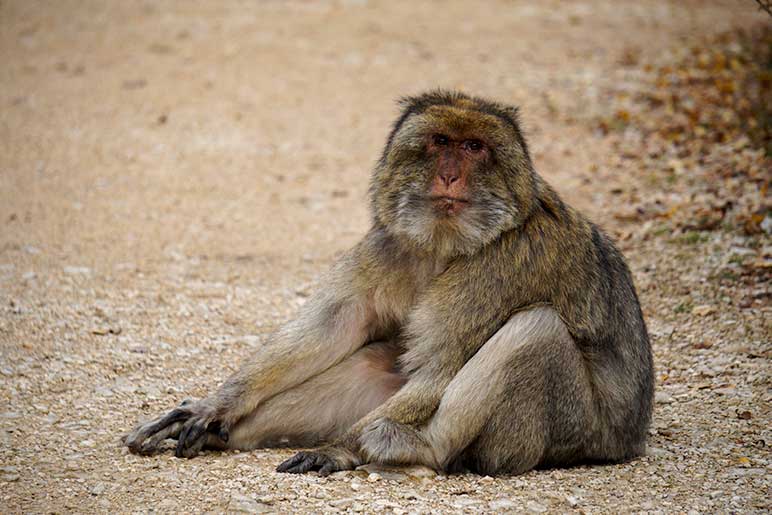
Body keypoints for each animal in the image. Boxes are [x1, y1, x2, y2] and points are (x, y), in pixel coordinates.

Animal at [123, 90, 656, 478]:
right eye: (440, 142)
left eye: (474, 148)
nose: (449, 175)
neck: (446, 245)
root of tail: (627, 441)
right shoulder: (388, 242)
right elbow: (334, 327)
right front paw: (216, 407)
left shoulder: (502, 270)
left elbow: (437, 369)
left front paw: (340, 449)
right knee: (371, 363)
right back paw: (227, 435)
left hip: (568, 432)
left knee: (536, 329)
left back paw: (417, 450)